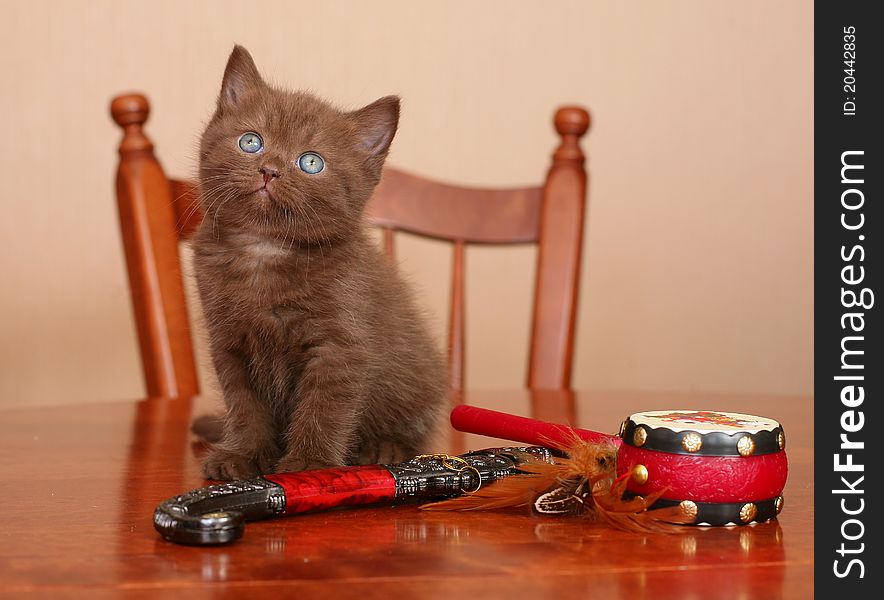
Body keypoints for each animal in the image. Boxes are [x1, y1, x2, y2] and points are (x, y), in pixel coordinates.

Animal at [191, 44, 446, 480]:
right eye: (250, 142)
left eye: (311, 163)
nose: (269, 170)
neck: (265, 251)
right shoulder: (229, 344)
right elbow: (244, 406)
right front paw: (241, 454)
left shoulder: (340, 346)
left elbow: (323, 409)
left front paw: (310, 465)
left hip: (418, 381)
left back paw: (385, 446)